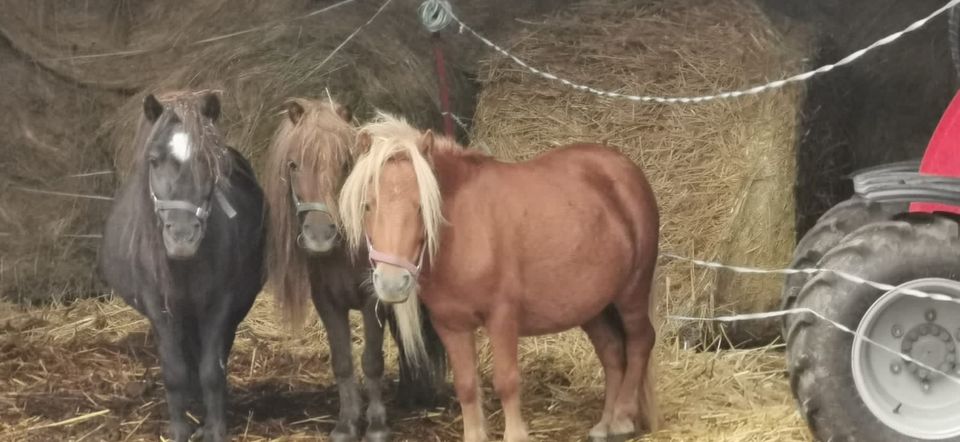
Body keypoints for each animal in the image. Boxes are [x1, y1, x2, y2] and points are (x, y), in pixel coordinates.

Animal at [100, 90, 264, 442]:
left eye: (208, 161)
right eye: (153, 160)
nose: (183, 238)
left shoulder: (219, 306)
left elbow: (212, 369)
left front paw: (214, 428)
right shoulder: (161, 309)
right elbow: (175, 372)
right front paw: (180, 428)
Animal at [260, 96, 444, 442]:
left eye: (345, 163)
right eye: (293, 165)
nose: (320, 235)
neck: (343, 254)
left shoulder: (373, 301)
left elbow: (371, 361)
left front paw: (376, 425)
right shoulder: (328, 304)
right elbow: (343, 362)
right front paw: (346, 423)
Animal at [338, 114, 660, 442]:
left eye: (421, 207)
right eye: (367, 205)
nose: (392, 283)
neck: (465, 231)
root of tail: (624, 168)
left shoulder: (502, 317)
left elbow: (506, 381)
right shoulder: (451, 325)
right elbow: (466, 385)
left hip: (632, 291)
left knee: (640, 341)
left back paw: (622, 419)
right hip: (593, 306)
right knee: (612, 352)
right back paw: (605, 424)